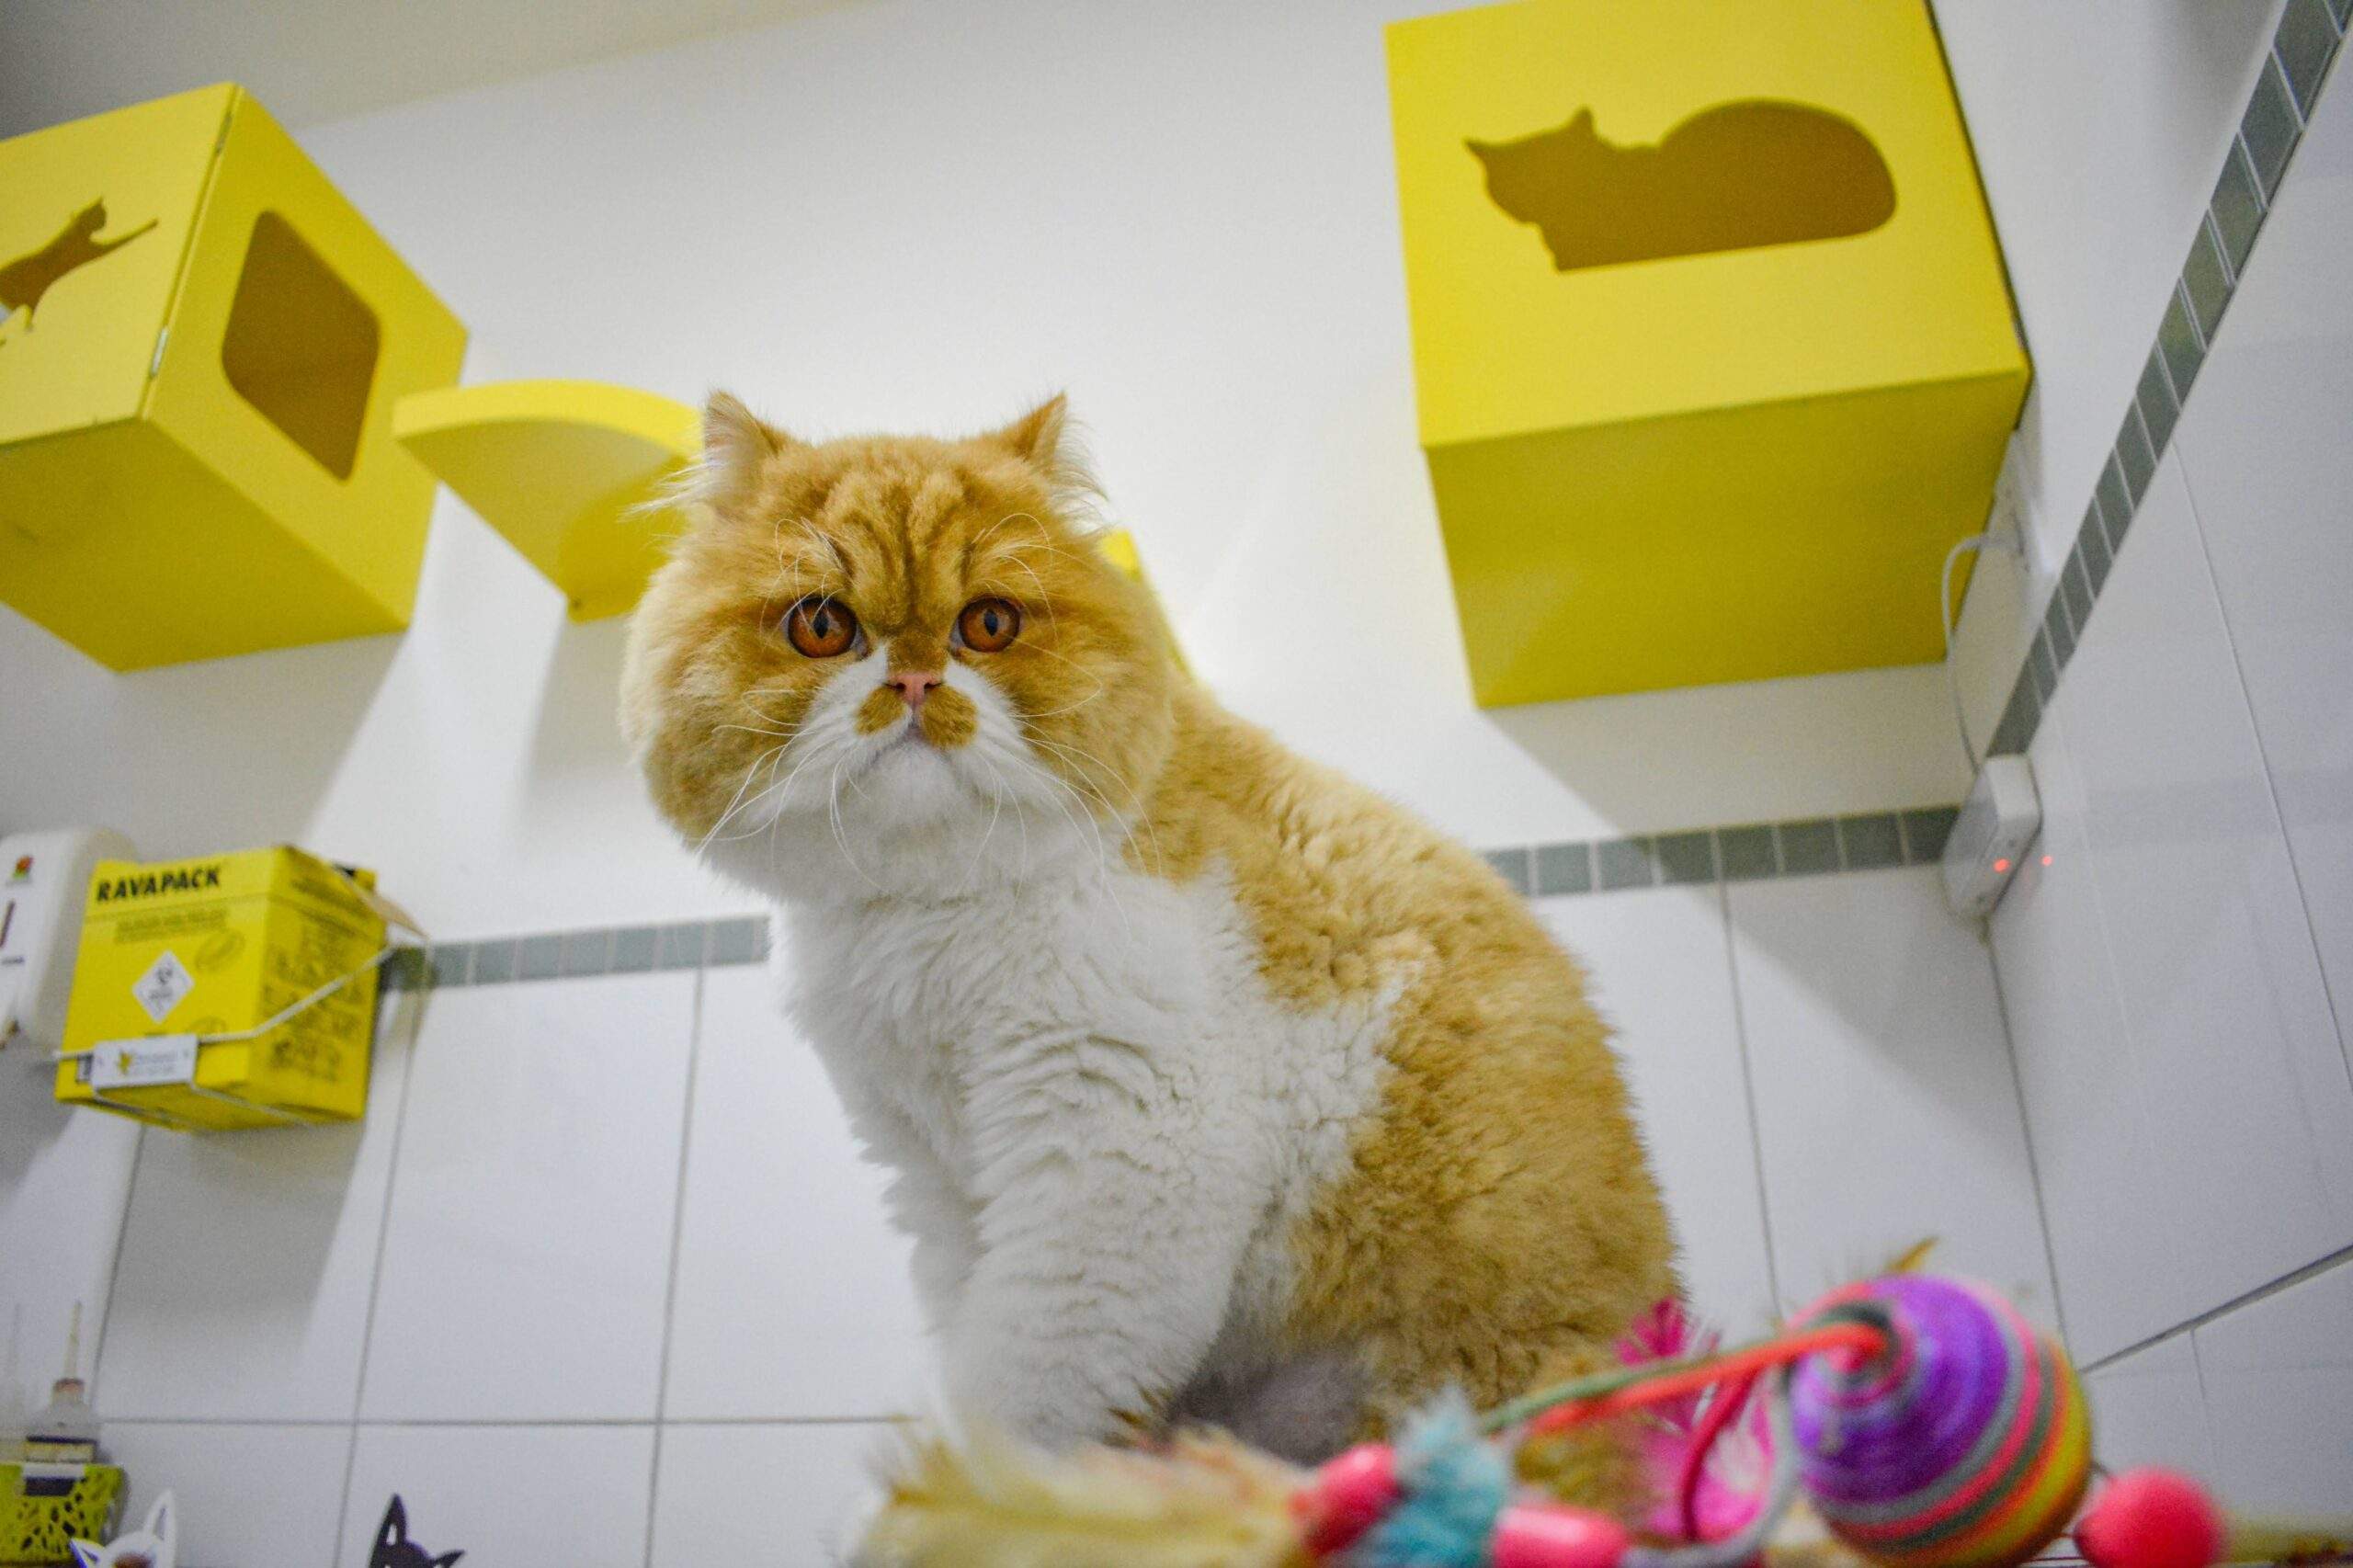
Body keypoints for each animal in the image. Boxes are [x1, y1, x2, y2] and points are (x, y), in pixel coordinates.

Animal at [620, 393, 1675, 1458]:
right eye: (822, 624)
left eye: (987, 623)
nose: (915, 681)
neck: (929, 919)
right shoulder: (941, 1186)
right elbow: (970, 1343)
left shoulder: (1120, 1165)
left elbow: (1021, 1401)